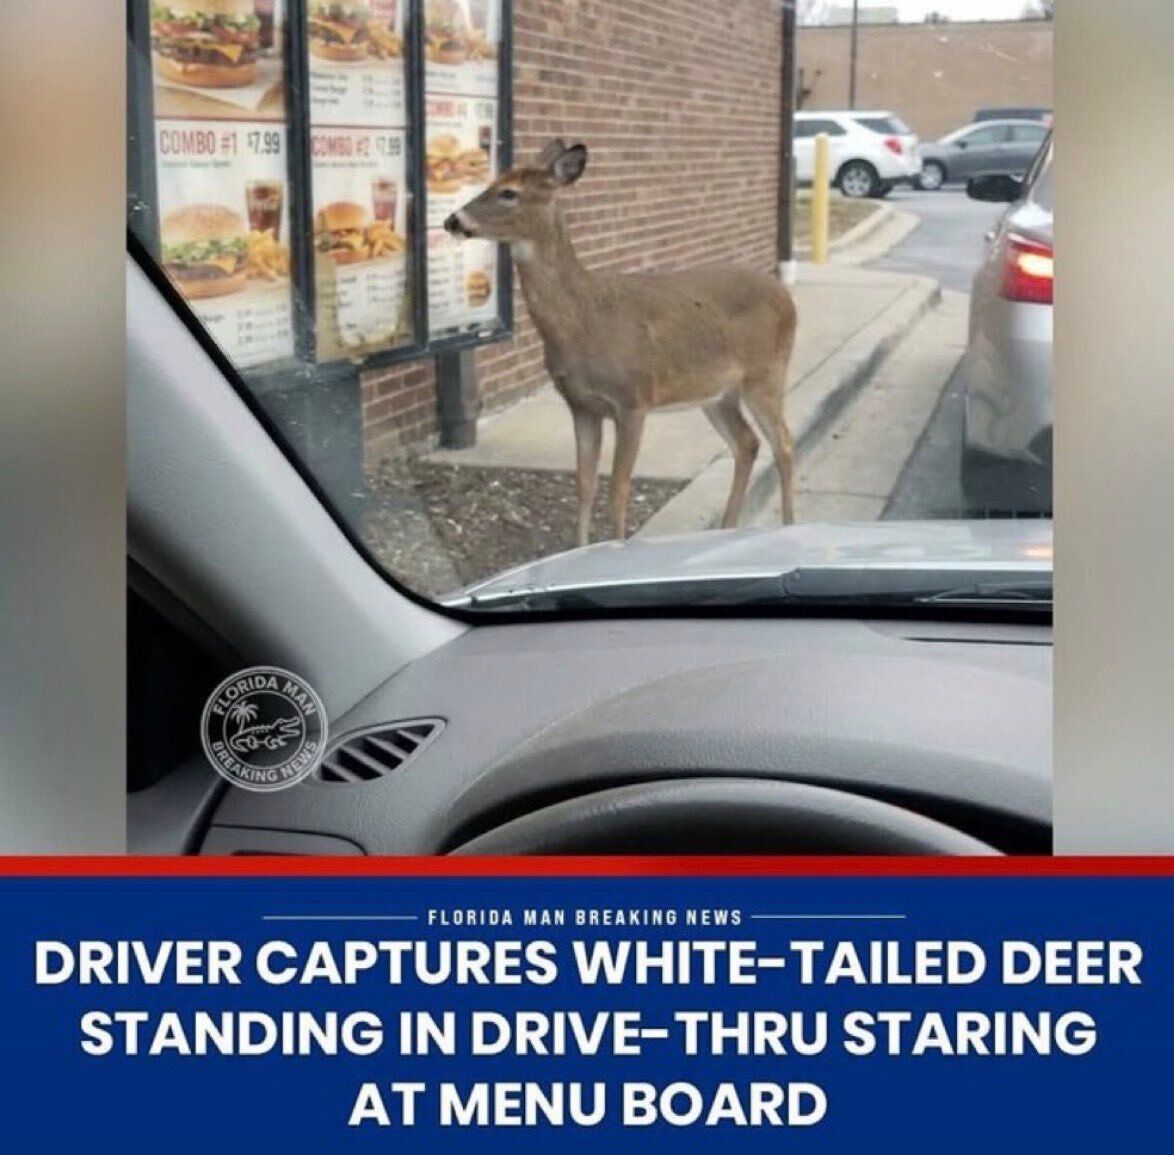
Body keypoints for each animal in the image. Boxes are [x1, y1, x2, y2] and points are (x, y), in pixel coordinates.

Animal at [444, 140, 798, 547]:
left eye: (508, 192)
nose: (453, 220)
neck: (584, 322)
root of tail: (786, 297)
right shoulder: (581, 405)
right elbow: (584, 484)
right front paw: (579, 549)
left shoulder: (633, 400)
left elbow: (619, 488)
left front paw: (616, 545)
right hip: (717, 392)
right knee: (747, 443)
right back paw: (727, 529)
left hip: (766, 373)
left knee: (784, 443)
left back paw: (790, 526)